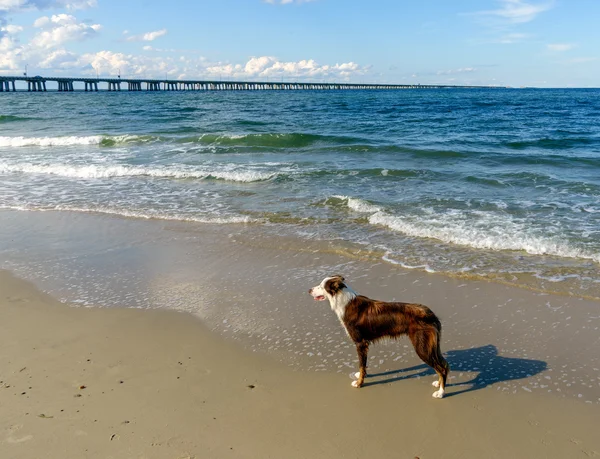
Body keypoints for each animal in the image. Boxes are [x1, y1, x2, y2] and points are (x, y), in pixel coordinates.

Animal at [312, 274, 448, 398]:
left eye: (321, 286)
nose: (309, 290)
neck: (343, 300)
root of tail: (430, 314)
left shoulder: (360, 343)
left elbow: (361, 365)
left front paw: (359, 383)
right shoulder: (364, 344)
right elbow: (363, 365)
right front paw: (362, 376)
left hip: (422, 347)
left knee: (442, 368)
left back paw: (441, 392)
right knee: (444, 364)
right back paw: (438, 384)